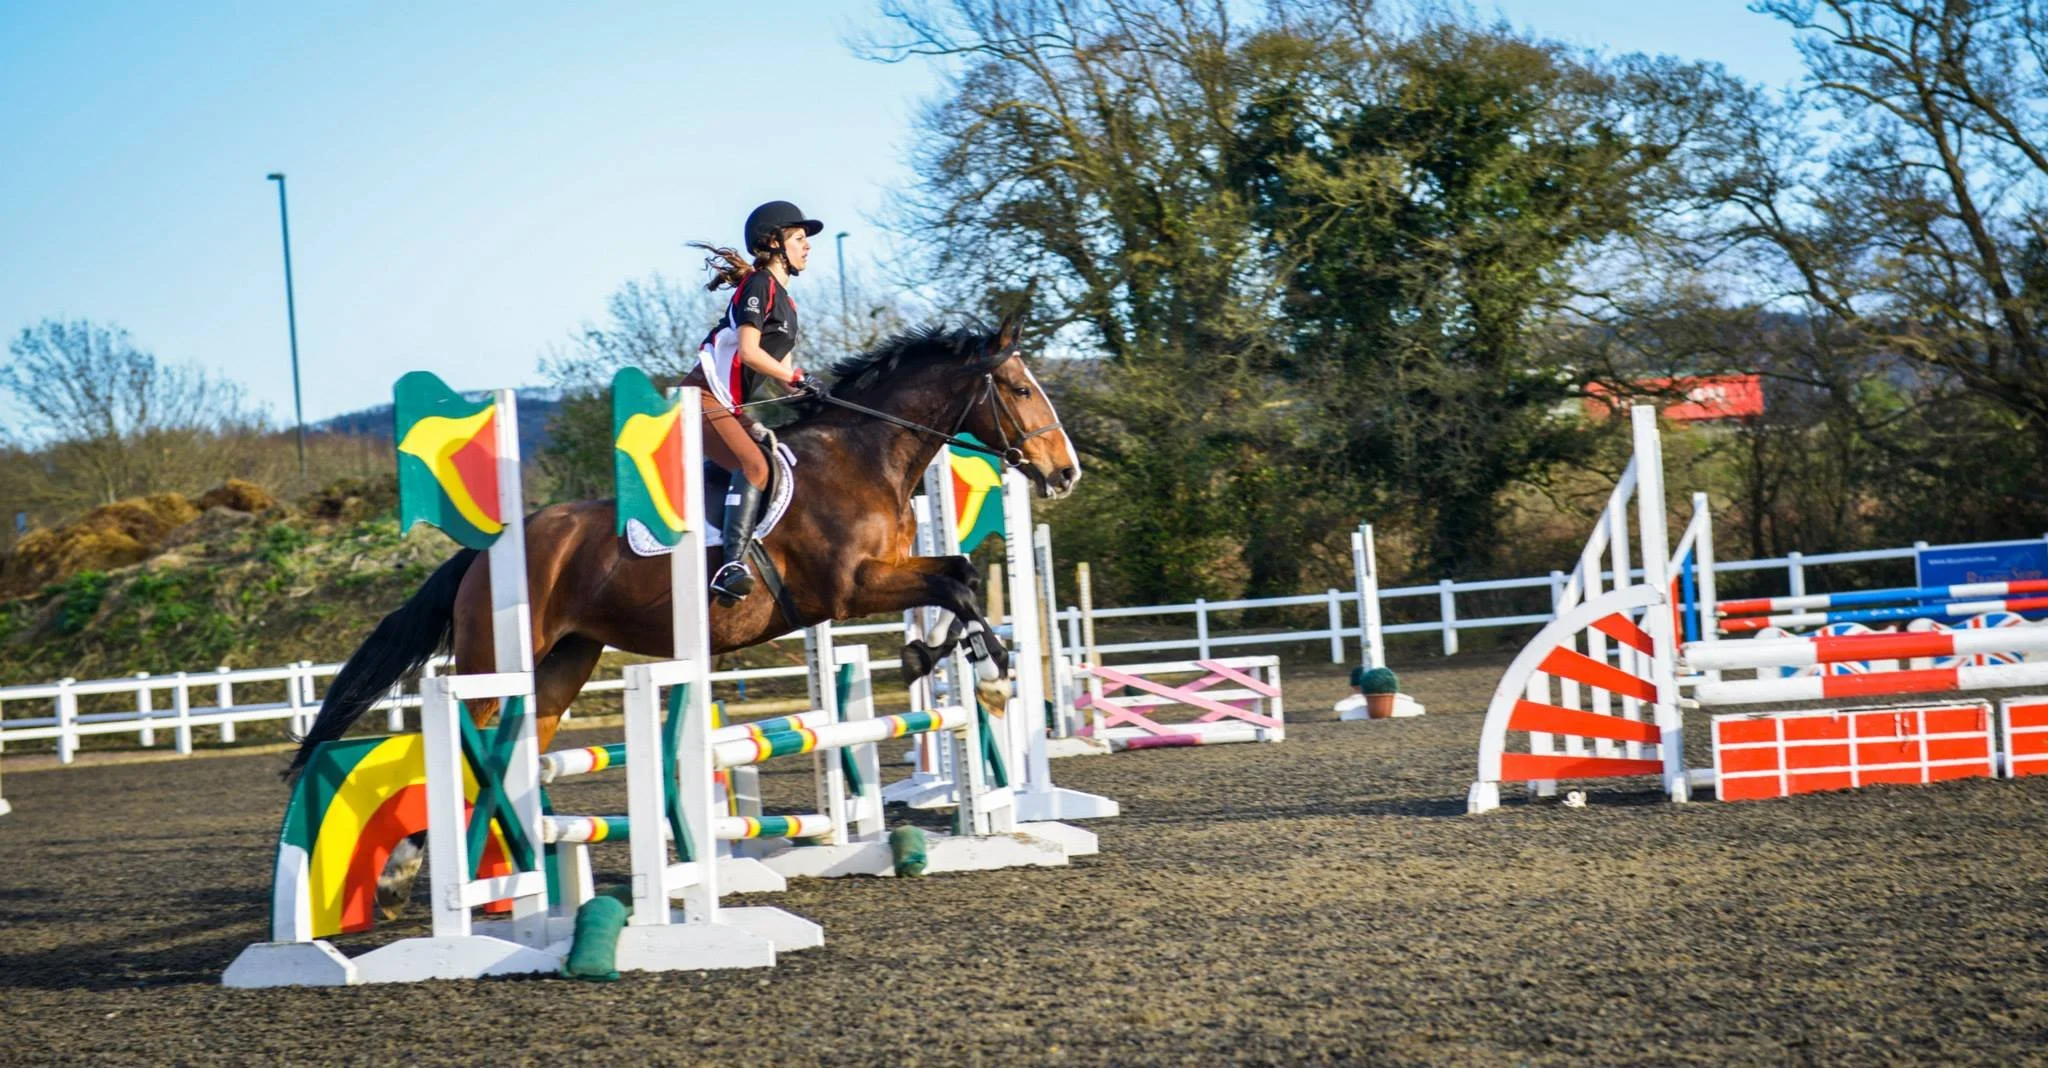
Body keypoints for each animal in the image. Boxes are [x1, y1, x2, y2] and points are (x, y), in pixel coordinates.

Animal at [286, 315, 1078, 915]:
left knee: (505, 759)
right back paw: (411, 877)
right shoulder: (854, 589)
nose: (1065, 472)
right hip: (496, 659)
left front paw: (950, 660)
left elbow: (960, 577)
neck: (864, 456)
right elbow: (958, 585)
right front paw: (991, 668)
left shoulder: (884, 580)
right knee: (461, 745)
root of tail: (487, 550)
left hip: (565, 664)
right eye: (1018, 387)